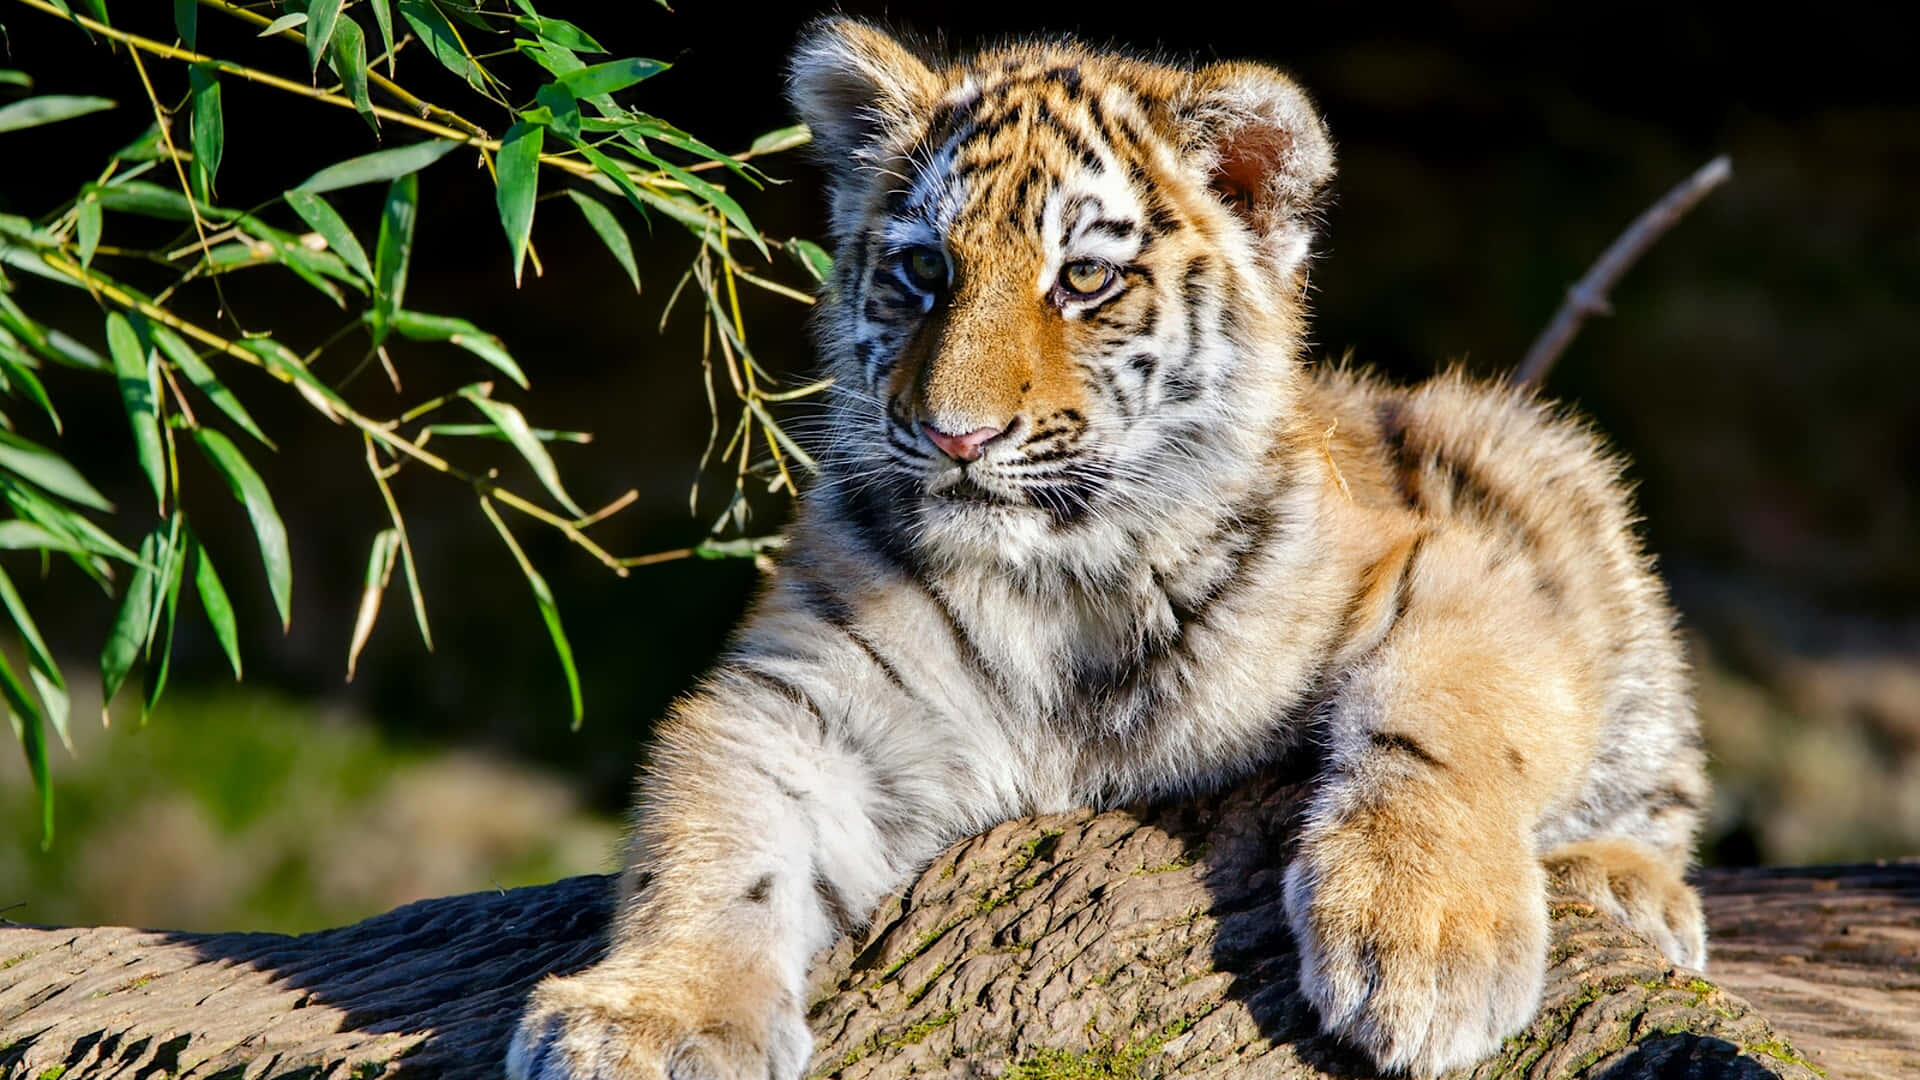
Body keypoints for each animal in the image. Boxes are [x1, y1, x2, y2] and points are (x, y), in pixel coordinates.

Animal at [508, 19, 1708, 1079]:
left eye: (1084, 278)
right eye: (924, 271)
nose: (955, 434)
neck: (1061, 579)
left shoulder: (1454, 563)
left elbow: (1448, 724)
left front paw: (1427, 948)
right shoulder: (802, 703)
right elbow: (711, 847)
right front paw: (649, 1019)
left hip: (1530, 458)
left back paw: (1621, 887)